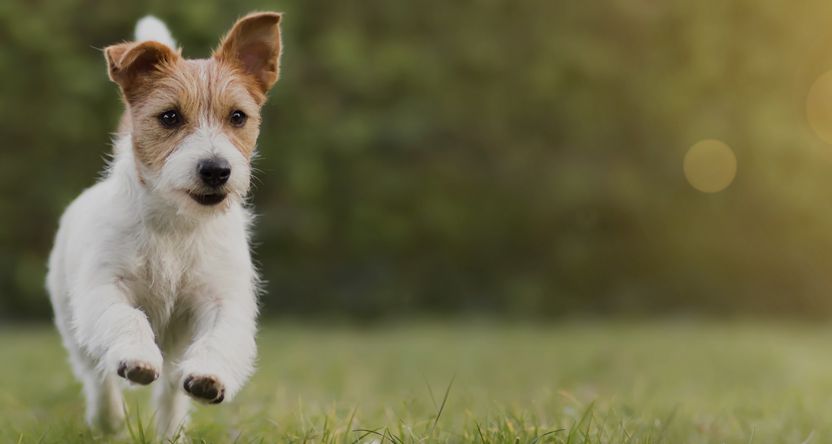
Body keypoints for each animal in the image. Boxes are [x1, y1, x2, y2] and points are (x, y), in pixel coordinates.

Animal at [44, 12, 282, 438]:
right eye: (170, 116)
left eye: (238, 117)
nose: (216, 170)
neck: (177, 224)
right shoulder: (105, 289)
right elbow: (128, 318)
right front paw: (137, 358)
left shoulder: (221, 298)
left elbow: (219, 338)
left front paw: (209, 376)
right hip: (73, 321)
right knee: (96, 374)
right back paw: (108, 420)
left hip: (176, 351)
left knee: (171, 393)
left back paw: (171, 434)